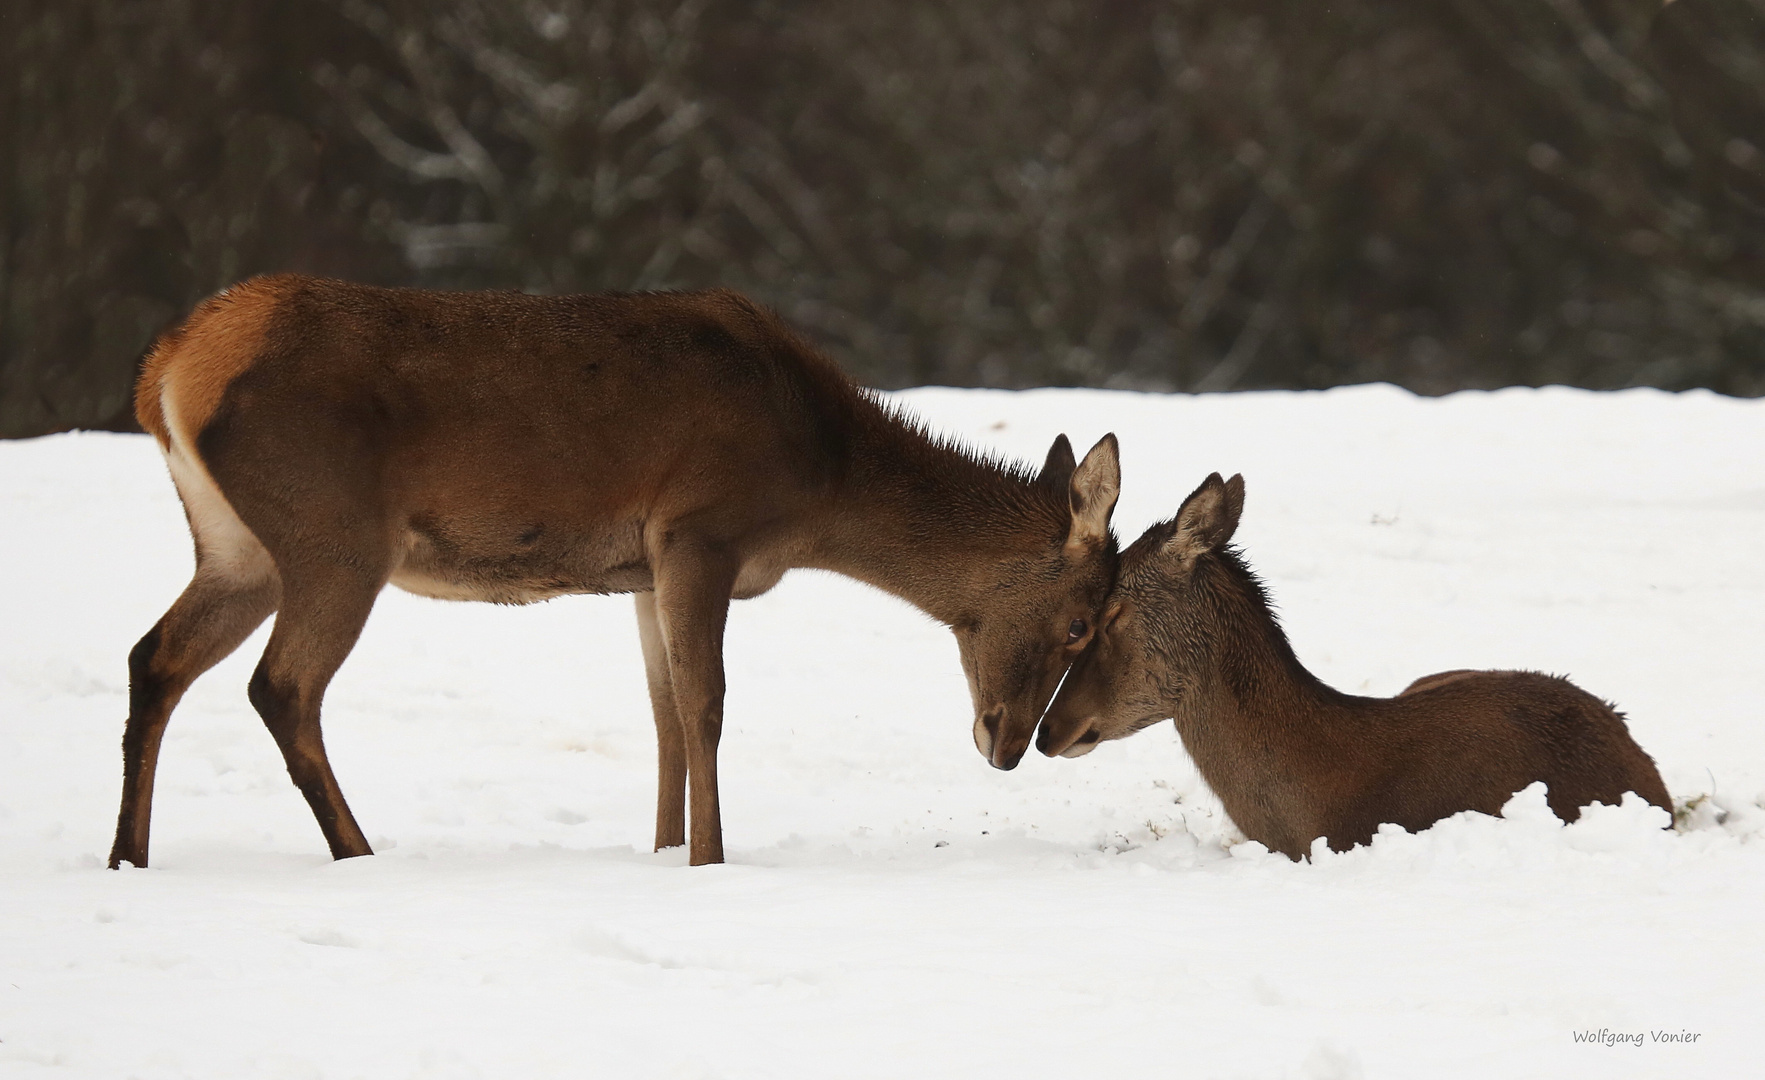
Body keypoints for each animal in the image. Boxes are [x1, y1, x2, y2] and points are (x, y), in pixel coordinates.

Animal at [113, 273, 1115, 864]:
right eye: (1079, 622)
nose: (1008, 745)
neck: (815, 484)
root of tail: (169, 369)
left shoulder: (640, 570)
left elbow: (663, 713)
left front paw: (665, 852)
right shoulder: (699, 528)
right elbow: (706, 705)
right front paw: (710, 858)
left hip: (238, 545)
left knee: (154, 658)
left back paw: (129, 853)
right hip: (335, 533)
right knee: (280, 687)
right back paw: (357, 851)